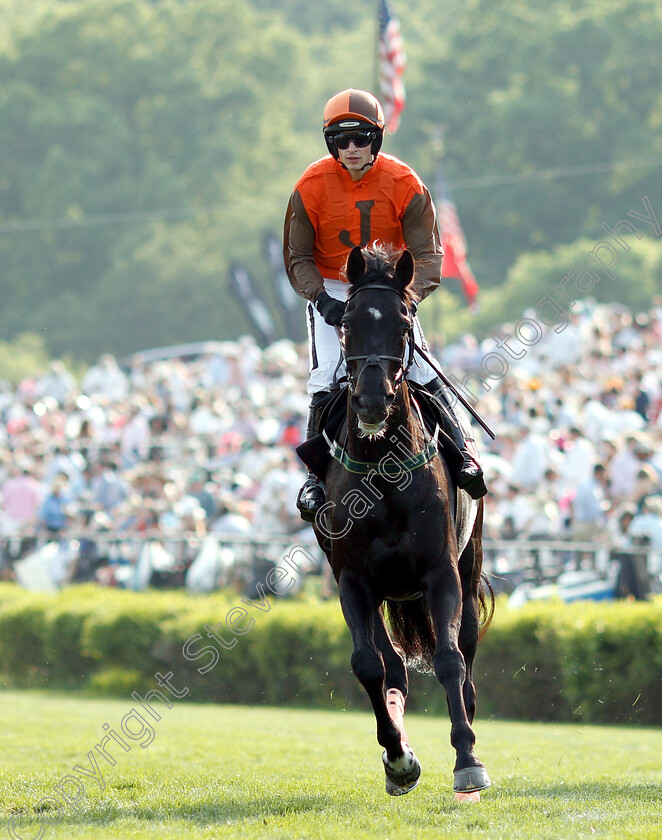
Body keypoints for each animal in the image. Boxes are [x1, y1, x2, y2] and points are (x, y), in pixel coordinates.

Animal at [314, 244, 496, 800]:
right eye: (347, 321)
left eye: (402, 321)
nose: (373, 398)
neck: (384, 473)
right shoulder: (353, 579)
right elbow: (369, 664)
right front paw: (398, 757)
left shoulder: (441, 572)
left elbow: (449, 658)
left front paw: (467, 759)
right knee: (392, 664)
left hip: (469, 561)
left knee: (465, 651)